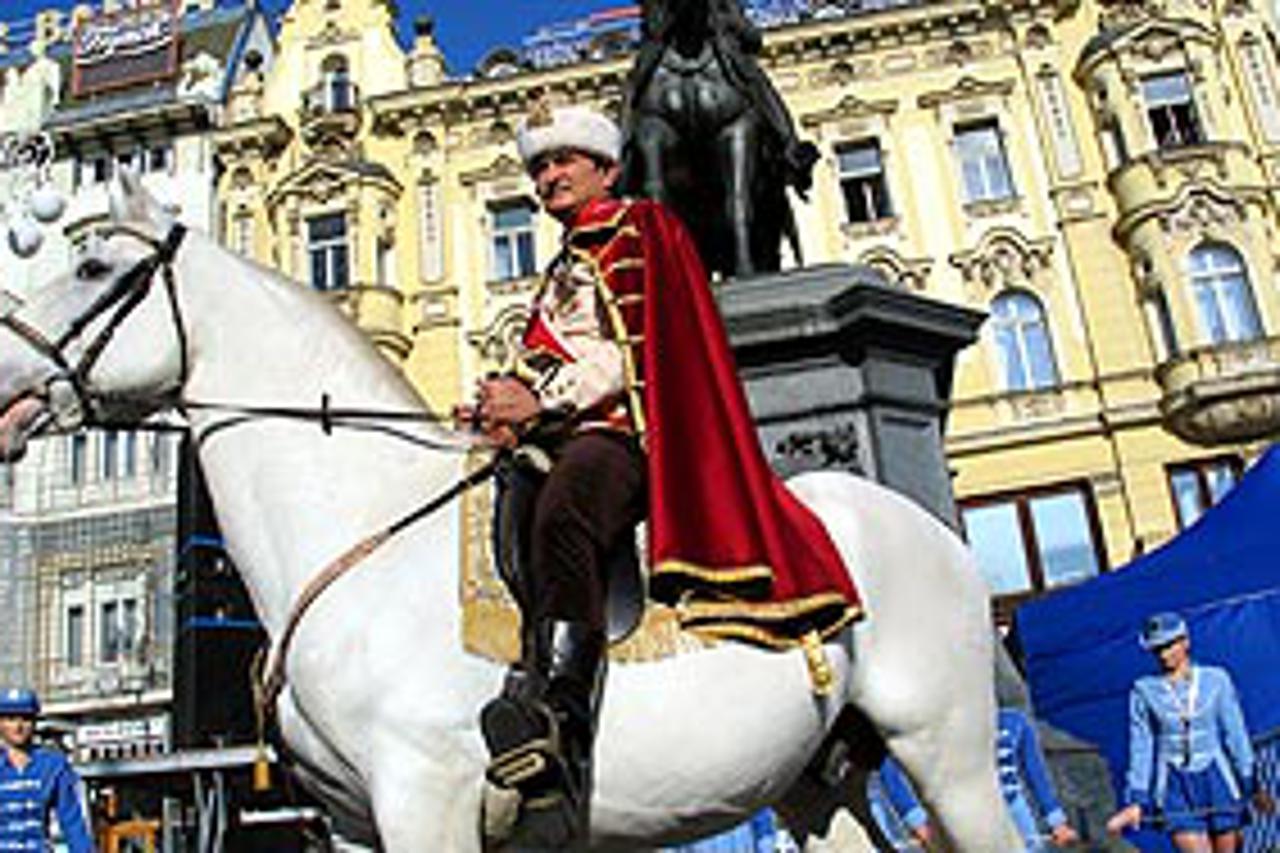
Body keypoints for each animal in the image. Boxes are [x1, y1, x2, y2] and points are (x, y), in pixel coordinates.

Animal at [0, 169, 1018, 845]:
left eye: (93, 267)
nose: (2, 370)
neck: (360, 535)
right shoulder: (357, 821)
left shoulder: (425, 796)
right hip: (813, 780)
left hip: (952, 750)